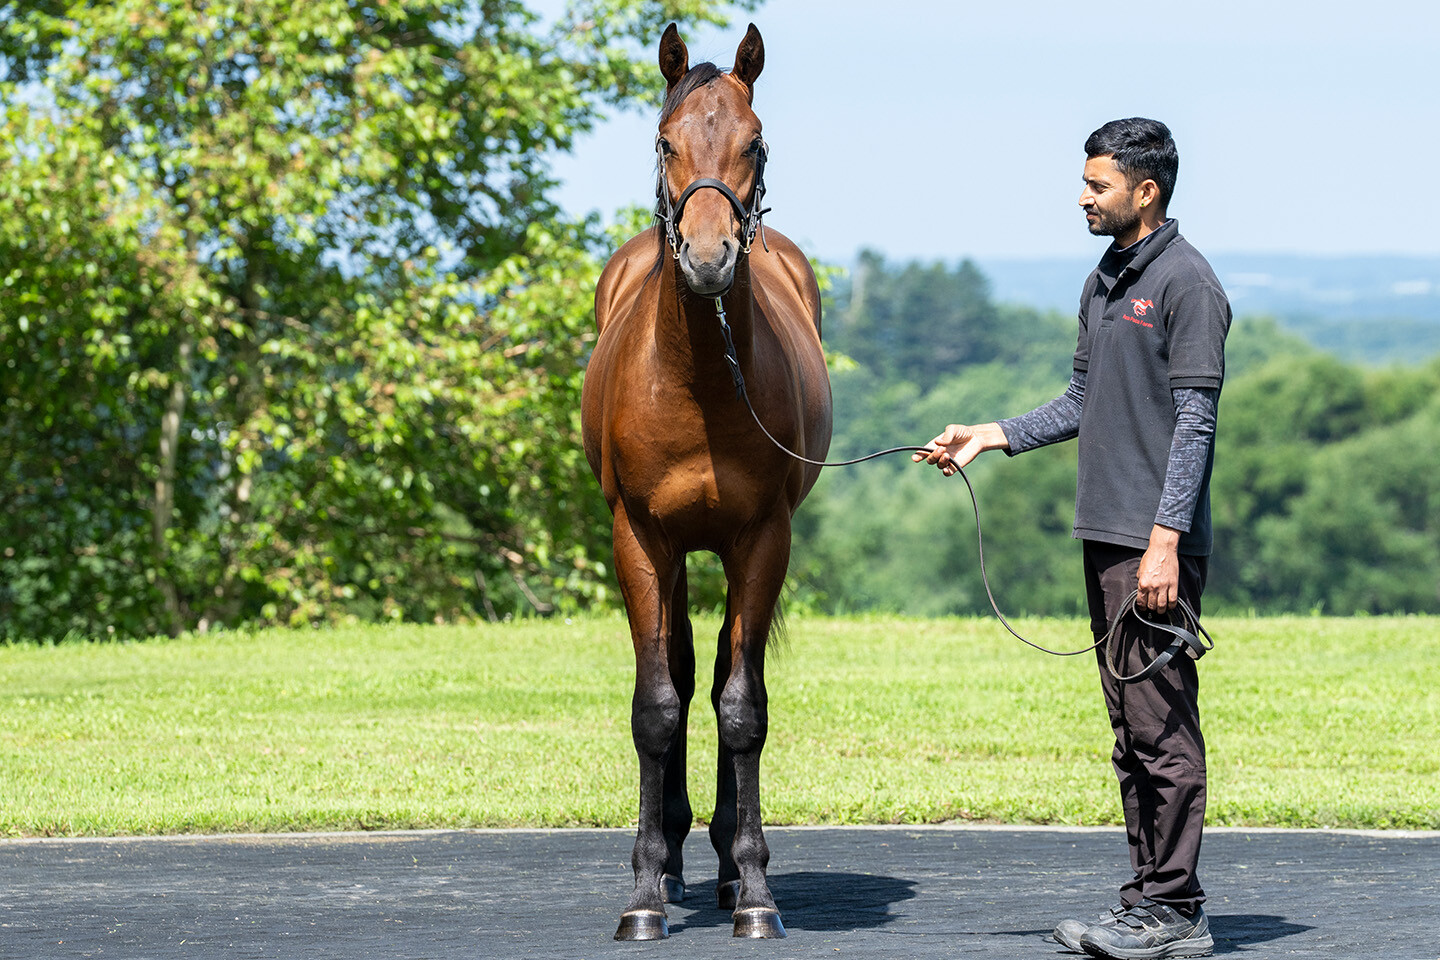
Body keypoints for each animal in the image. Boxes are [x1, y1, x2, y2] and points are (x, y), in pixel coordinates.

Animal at [580, 22, 832, 942]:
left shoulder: (760, 540)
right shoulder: (640, 539)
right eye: (667, 141)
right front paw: (644, 893)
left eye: (754, 142)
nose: (709, 257)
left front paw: (753, 888)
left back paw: (724, 863)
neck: (696, 379)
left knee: (724, 669)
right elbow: (658, 704)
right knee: (685, 672)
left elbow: (741, 706)